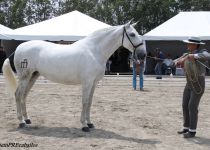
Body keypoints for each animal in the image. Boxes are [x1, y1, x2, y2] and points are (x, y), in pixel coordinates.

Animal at [2, 20, 146, 131]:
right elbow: (85, 102)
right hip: (24, 77)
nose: (143, 55)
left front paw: (90, 123)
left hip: (33, 76)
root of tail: (19, 48)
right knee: (18, 94)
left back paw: (27, 119)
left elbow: (90, 102)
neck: (94, 51)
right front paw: (84, 125)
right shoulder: (87, 82)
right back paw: (21, 122)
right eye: (132, 34)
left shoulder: (93, 83)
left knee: (24, 95)